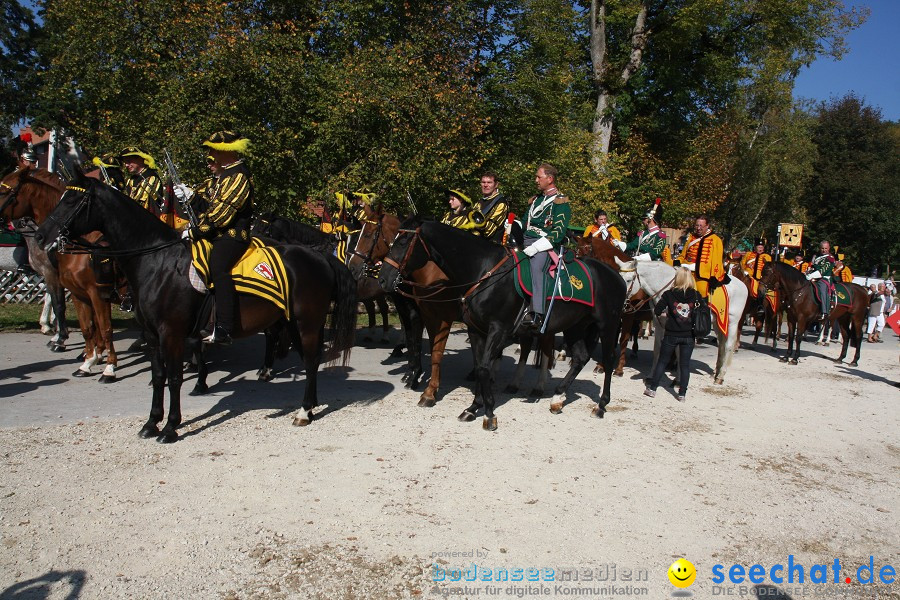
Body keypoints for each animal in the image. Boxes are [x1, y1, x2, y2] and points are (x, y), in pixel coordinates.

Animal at [0, 168, 125, 380]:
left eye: (4, 191)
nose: (41, 236)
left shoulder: (82, 287)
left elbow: (66, 308)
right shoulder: (78, 291)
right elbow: (88, 325)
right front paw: (91, 357)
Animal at [35, 171, 358, 442]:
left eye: (73, 200)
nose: (40, 236)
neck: (157, 262)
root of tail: (319, 256)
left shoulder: (172, 333)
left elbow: (175, 378)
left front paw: (170, 427)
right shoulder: (152, 335)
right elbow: (158, 377)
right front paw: (151, 424)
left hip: (307, 323)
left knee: (310, 360)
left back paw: (303, 411)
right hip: (294, 322)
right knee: (308, 359)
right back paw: (310, 405)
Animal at [380, 220, 624, 432]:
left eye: (403, 242)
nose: (383, 279)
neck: (484, 271)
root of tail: (616, 275)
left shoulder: (498, 329)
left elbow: (483, 367)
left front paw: (489, 414)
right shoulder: (476, 330)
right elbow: (479, 366)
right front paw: (473, 407)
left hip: (607, 326)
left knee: (608, 359)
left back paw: (600, 405)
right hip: (575, 326)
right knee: (580, 357)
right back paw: (557, 398)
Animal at [576, 234, 652, 376]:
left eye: (587, 251)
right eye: (576, 253)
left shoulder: (628, 315)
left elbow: (623, 339)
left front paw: (619, 368)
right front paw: (602, 365)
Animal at [612, 258, 752, 384]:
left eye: (629, 280)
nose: (619, 298)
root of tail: (742, 285)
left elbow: (679, 352)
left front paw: (678, 379)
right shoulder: (659, 325)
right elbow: (658, 350)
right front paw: (651, 376)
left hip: (732, 322)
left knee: (728, 346)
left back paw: (720, 376)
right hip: (718, 324)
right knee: (721, 345)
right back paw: (716, 372)